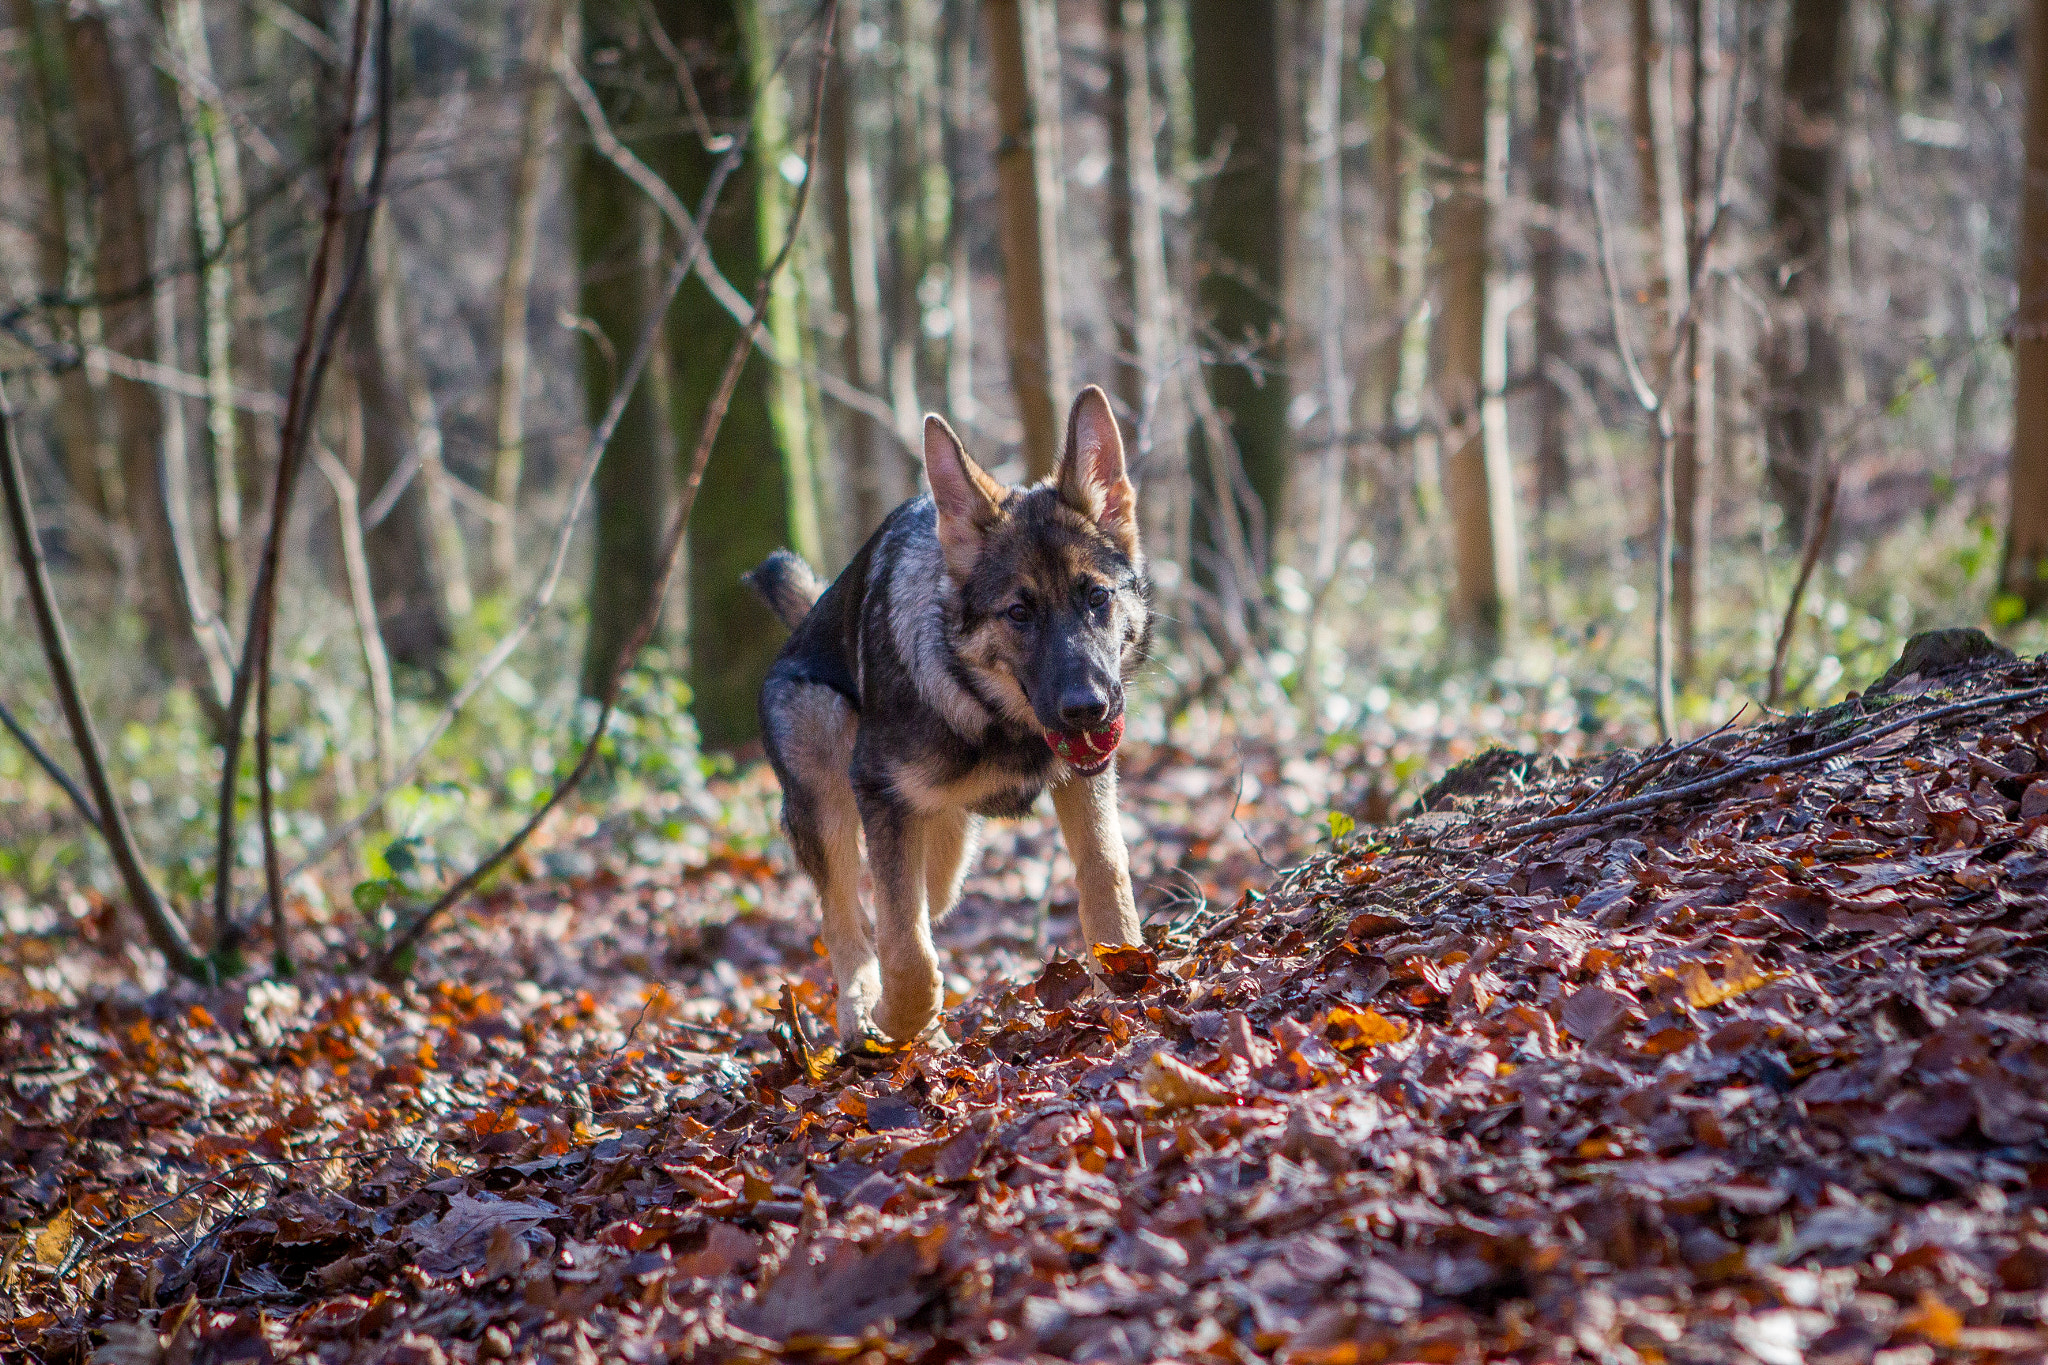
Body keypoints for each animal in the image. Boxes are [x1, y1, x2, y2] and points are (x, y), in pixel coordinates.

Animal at [749, 384, 1155, 1047]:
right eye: (1019, 613)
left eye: (1097, 597)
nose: (1089, 710)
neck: (991, 712)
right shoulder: (881, 796)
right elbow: (908, 953)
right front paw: (893, 1020)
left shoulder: (1085, 785)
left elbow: (1106, 876)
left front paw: (1127, 978)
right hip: (820, 737)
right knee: (848, 920)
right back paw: (862, 1016)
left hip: (948, 850)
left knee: (919, 903)